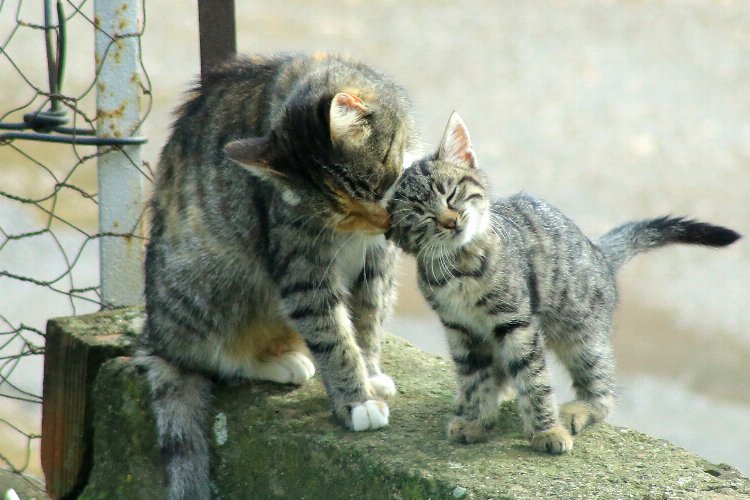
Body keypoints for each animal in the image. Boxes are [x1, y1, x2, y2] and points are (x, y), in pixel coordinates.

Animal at [135, 52, 418, 498]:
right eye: (344, 213)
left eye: (377, 188)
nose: (383, 223)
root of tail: (157, 339)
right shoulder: (303, 268)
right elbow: (334, 336)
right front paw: (357, 402)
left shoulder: (376, 264)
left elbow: (368, 322)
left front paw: (370, 375)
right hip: (219, 279)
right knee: (215, 357)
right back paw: (280, 364)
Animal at [390, 113, 744, 454]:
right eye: (421, 216)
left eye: (451, 194)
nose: (451, 222)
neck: (459, 266)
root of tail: (600, 252)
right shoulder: (461, 330)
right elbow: (475, 378)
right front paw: (476, 419)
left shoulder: (517, 324)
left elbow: (534, 380)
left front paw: (547, 430)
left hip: (581, 336)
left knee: (605, 391)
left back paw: (580, 409)